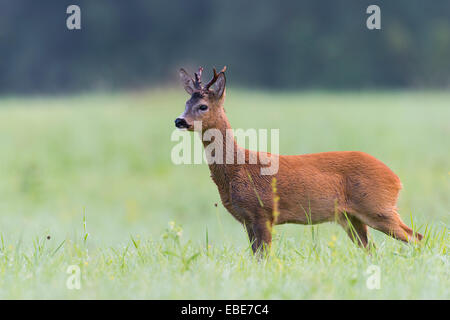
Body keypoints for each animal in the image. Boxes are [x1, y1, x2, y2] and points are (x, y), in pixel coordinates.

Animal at [175, 67, 422, 252]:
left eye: (203, 106)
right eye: (186, 104)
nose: (179, 120)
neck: (238, 167)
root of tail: (396, 180)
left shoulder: (263, 211)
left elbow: (264, 257)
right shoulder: (247, 220)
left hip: (378, 207)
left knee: (416, 237)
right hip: (352, 217)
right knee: (373, 249)